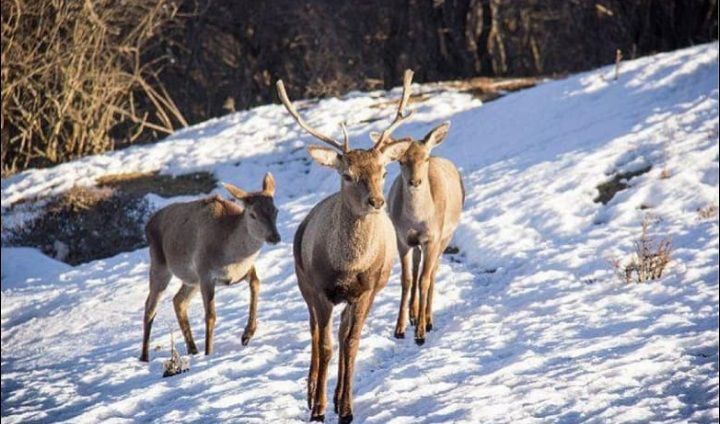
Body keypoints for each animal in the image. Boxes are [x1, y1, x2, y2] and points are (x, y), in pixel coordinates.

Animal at [139, 172, 280, 362]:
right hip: (160, 264)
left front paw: (247, 334)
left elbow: (256, 283)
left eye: (275, 210)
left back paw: (192, 349)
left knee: (178, 300)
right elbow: (210, 316)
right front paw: (209, 352)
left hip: (191, 279)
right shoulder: (205, 272)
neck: (232, 258)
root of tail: (148, 224)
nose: (275, 237)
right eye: (252, 214)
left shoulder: (242, 271)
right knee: (150, 307)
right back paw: (144, 357)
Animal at [278, 71, 416, 422]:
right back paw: (312, 392)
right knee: (315, 333)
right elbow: (325, 345)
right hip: (303, 282)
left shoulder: (367, 289)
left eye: (384, 170)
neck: (347, 266)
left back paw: (338, 398)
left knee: (340, 335)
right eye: (348, 175)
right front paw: (318, 409)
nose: (377, 202)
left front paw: (347, 408)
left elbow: (351, 342)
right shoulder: (320, 289)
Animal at [386, 121, 464, 344]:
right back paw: (413, 314)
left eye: (425, 158)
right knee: (416, 267)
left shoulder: (433, 238)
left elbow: (425, 279)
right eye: (401, 161)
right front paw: (399, 329)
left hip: (446, 236)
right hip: (418, 243)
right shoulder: (402, 238)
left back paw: (427, 320)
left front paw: (420, 333)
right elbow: (406, 279)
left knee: (432, 271)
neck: (416, 220)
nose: (415, 182)